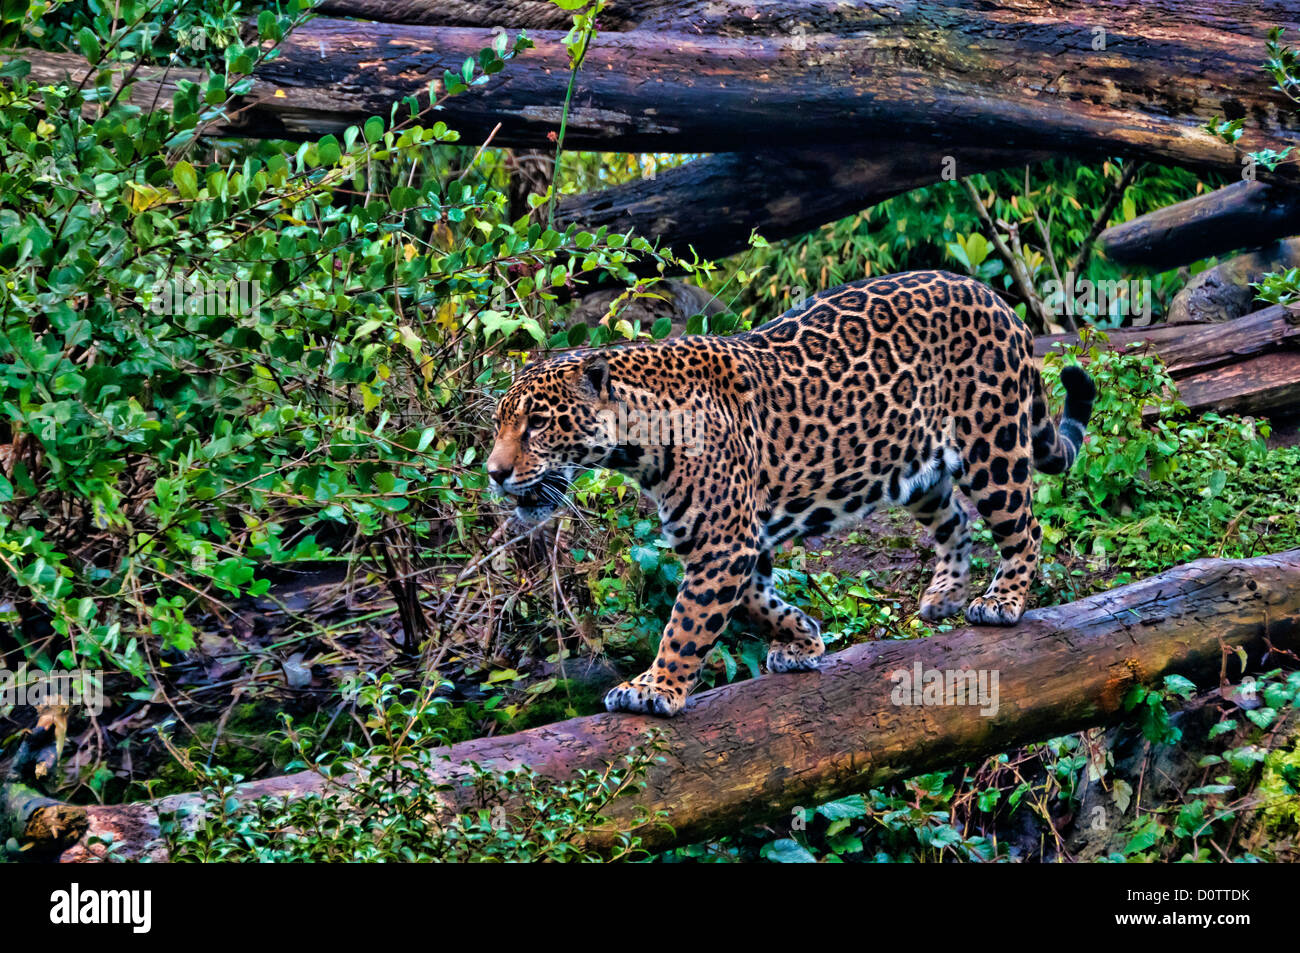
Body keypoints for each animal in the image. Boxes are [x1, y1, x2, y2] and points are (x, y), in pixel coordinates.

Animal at [486, 270, 1096, 717]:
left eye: (537, 424)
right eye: (499, 423)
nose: (493, 473)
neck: (642, 438)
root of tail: (995, 298)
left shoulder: (722, 544)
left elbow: (687, 624)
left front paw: (654, 688)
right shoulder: (738, 543)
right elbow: (757, 604)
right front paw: (804, 638)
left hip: (991, 444)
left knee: (1025, 527)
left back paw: (1003, 601)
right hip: (912, 467)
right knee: (955, 521)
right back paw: (943, 594)